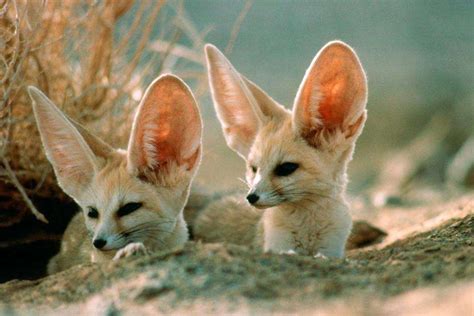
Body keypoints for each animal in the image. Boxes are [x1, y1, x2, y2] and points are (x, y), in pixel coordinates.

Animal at [194, 40, 368, 258]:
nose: (251, 197)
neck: (307, 229)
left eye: (286, 168)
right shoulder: (279, 245)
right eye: (253, 168)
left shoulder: (331, 249)